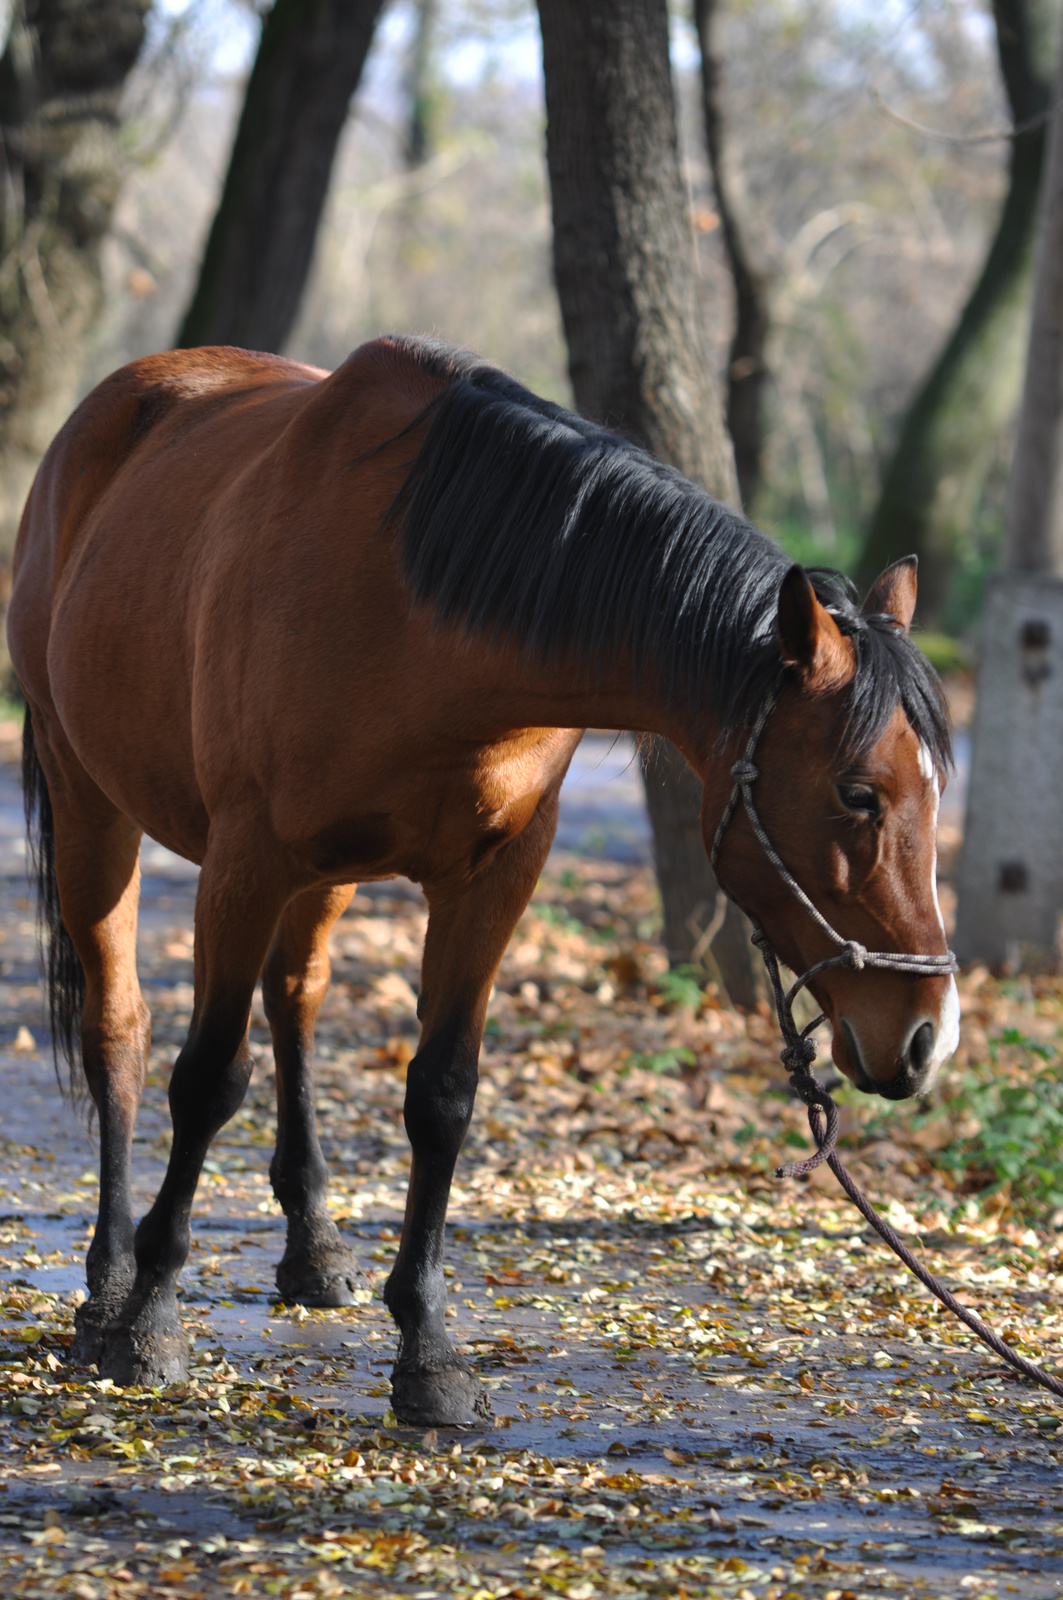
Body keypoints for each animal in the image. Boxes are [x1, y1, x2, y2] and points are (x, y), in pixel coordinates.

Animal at [6, 337, 954, 1427]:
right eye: (857, 793)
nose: (925, 1038)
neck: (427, 615)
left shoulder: (492, 879)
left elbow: (442, 1095)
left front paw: (428, 1349)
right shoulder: (244, 864)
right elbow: (206, 1081)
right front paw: (152, 1318)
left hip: (323, 876)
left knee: (296, 999)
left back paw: (313, 1246)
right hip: (93, 805)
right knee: (118, 1032)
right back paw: (109, 1284)